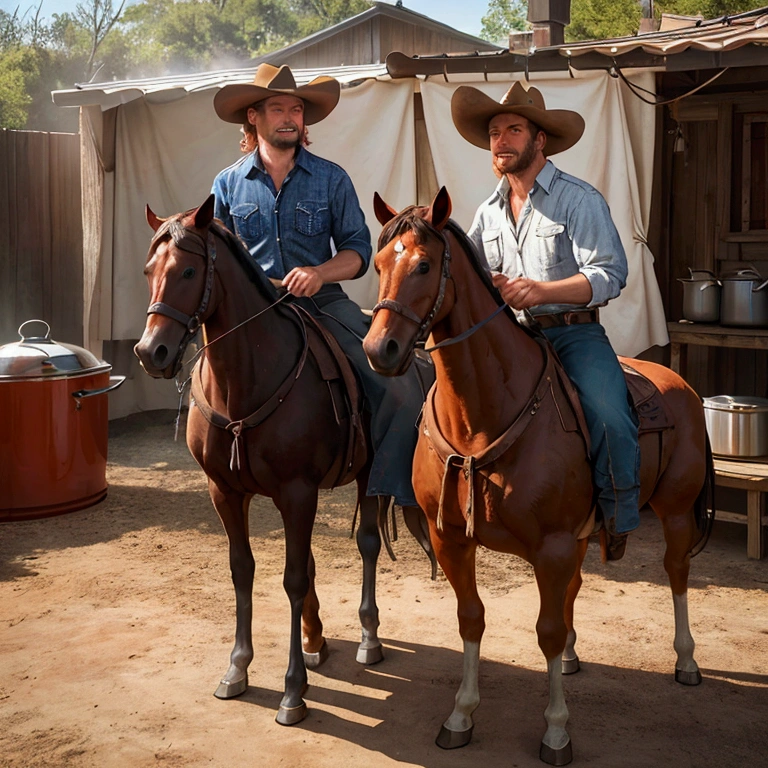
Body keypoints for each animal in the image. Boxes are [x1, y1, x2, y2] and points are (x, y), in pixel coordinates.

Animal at [135, 192, 436, 728]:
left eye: (188, 271)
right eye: (149, 269)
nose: (152, 352)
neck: (245, 380)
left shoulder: (297, 491)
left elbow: (294, 578)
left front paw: (293, 691)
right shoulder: (225, 492)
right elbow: (245, 569)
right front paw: (238, 667)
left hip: (369, 476)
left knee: (367, 544)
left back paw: (368, 637)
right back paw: (318, 639)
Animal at [362, 188, 712, 768]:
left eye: (424, 265)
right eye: (378, 263)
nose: (378, 350)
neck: (484, 417)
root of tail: (680, 383)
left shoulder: (551, 544)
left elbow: (545, 631)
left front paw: (556, 730)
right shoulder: (451, 538)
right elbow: (472, 619)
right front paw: (460, 716)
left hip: (676, 510)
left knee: (677, 572)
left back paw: (686, 662)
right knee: (577, 588)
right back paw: (575, 657)